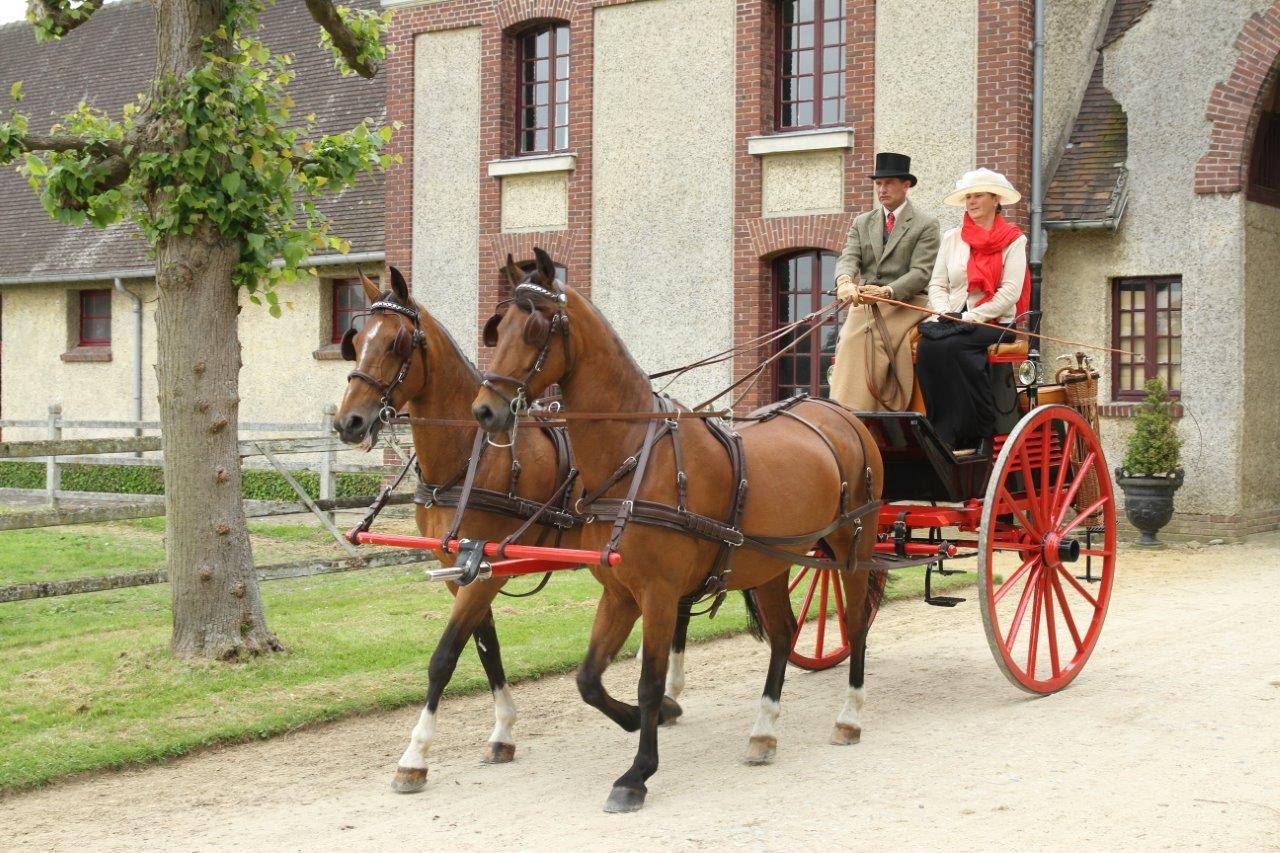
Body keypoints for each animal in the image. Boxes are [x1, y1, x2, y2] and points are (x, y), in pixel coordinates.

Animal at [330, 263, 691, 788]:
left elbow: (444, 657)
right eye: (356, 341)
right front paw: (502, 731)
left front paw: (415, 755)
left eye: (397, 342)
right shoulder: (464, 570)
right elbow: (487, 649)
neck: (471, 458)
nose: (349, 422)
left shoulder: (482, 570)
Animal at [476, 247, 885, 809]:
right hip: (772, 562)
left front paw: (638, 772)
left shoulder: (660, 593)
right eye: (499, 327)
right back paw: (764, 730)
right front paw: (642, 721)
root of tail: (840, 413)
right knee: (783, 634)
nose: (485, 410)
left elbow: (648, 682)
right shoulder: (620, 591)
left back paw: (849, 716)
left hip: (852, 545)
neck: (633, 456)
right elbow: (589, 679)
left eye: (536, 328)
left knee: (858, 623)